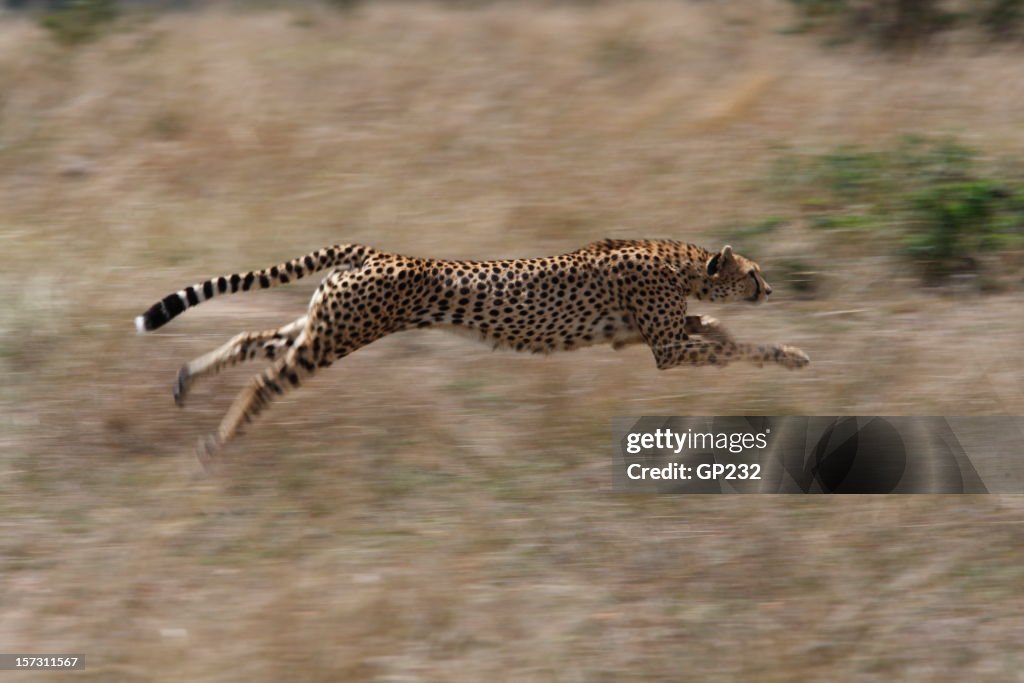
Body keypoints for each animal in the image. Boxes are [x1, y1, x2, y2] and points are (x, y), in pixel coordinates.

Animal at [134, 240, 806, 464]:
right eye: (754, 273)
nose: (771, 289)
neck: (684, 261)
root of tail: (374, 250)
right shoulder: (661, 347)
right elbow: (731, 347)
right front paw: (790, 354)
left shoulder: (632, 334)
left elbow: (711, 328)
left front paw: (731, 330)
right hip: (337, 336)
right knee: (266, 380)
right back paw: (218, 443)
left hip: (324, 322)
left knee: (251, 340)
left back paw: (186, 379)